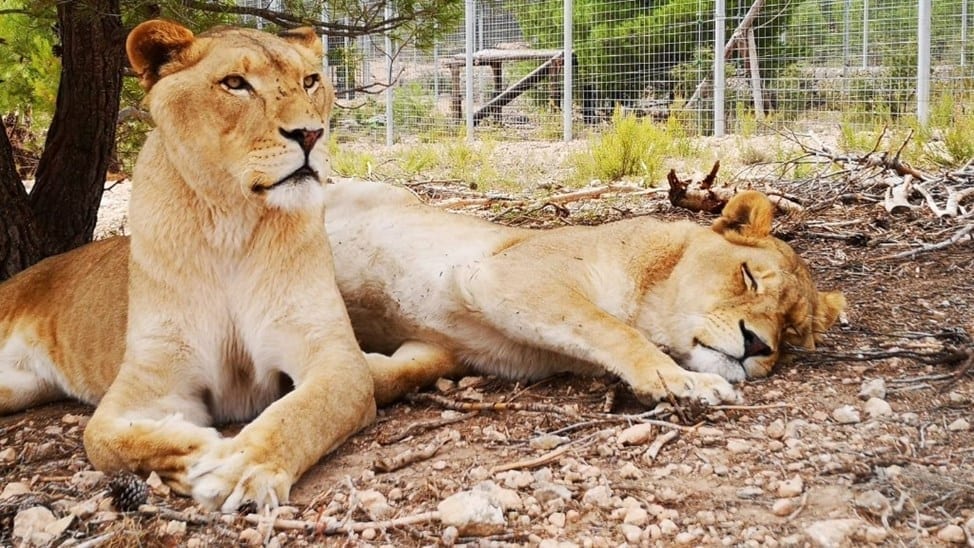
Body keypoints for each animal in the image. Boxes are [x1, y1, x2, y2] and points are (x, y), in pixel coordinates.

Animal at [0, 20, 377, 512]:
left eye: (311, 81)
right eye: (235, 84)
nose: (311, 134)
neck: (230, 223)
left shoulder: (334, 356)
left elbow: (302, 413)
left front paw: (244, 464)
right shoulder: (153, 378)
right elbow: (103, 439)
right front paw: (201, 454)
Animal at [323, 180, 846, 406]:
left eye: (792, 330)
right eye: (748, 277)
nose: (757, 345)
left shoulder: (445, 347)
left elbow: (391, 377)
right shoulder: (510, 273)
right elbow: (614, 331)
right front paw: (686, 381)